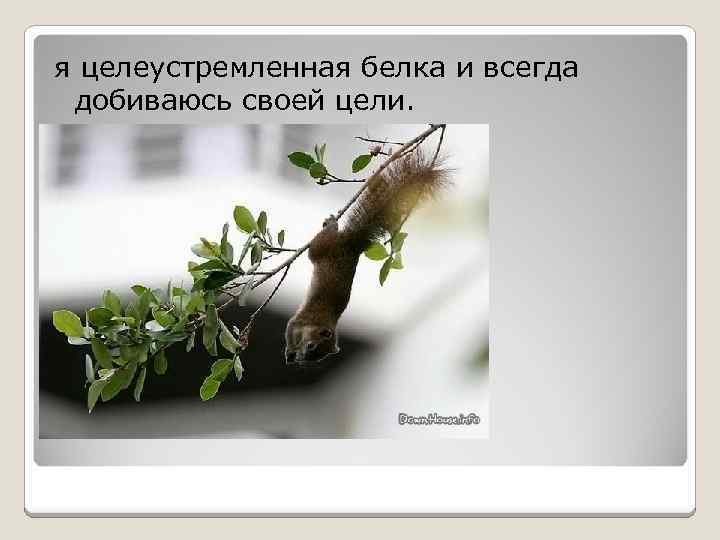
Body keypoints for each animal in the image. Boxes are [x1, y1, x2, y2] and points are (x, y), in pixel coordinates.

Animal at [284, 150, 449, 366]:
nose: (303, 359)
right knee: (321, 241)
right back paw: (331, 224)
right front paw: (289, 352)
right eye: (312, 347)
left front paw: (292, 354)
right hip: (322, 246)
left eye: (317, 357)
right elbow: (290, 327)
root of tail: (350, 243)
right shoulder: (301, 320)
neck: (317, 324)